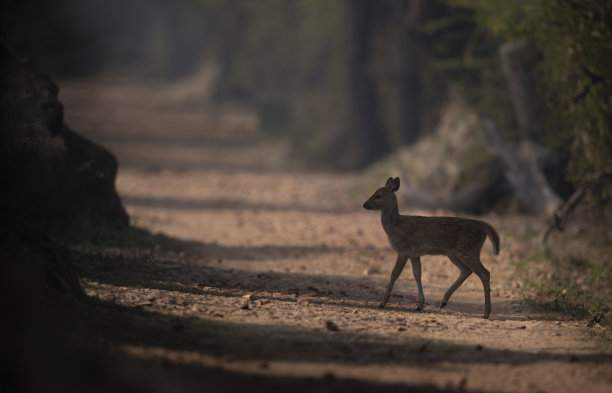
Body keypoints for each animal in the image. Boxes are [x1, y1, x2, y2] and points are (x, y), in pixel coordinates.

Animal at [360, 176, 500, 316]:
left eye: (378, 195)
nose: (365, 204)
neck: (395, 225)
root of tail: (484, 227)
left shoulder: (403, 249)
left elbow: (394, 274)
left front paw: (382, 303)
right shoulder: (414, 254)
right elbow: (417, 274)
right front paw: (419, 305)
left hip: (468, 250)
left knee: (484, 273)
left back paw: (486, 313)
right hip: (455, 253)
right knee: (466, 270)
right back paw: (444, 301)